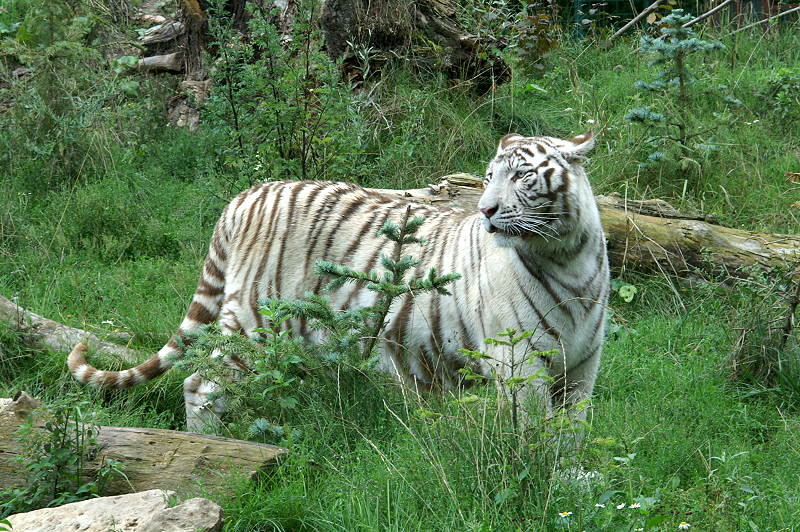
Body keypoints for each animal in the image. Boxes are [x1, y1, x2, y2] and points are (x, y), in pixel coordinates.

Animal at [70, 133, 608, 432]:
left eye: (521, 177)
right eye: (491, 175)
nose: (486, 210)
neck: (566, 255)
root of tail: (245, 195)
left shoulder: (582, 367)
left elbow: (573, 433)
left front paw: (568, 482)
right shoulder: (520, 363)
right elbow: (533, 435)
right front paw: (537, 479)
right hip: (253, 320)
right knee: (200, 382)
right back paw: (209, 448)